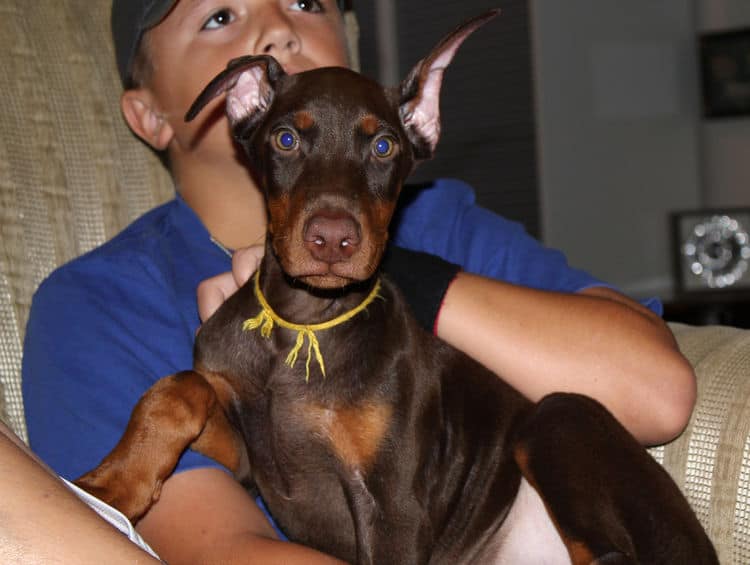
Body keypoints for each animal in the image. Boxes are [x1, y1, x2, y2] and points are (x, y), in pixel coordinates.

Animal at [76, 9, 716, 564]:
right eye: (285, 139)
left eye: (383, 146)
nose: (332, 240)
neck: (304, 325)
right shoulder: (247, 456)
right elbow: (177, 388)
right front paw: (109, 485)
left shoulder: (393, 504)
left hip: (560, 417)